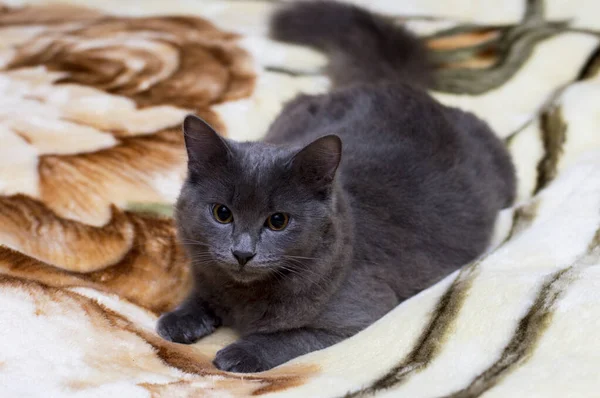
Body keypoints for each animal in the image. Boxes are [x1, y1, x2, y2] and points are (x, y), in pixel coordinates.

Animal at [156, 0, 516, 374]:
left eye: (278, 221)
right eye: (222, 213)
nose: (243, 253)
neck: (242, 297)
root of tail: (388, 82)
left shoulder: (356, 314)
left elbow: (288, 338)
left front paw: (239, 354)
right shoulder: (205, 270)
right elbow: (201, 292)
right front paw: (179, 319)